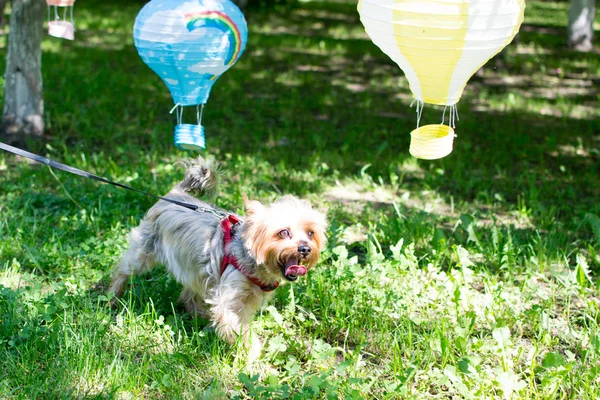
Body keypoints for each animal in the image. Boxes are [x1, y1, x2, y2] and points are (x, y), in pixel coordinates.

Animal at [106, 158, 324, 346]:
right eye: (283, 232)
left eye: (311, 233)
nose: (305, 248)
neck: (250, 259)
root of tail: (175, 192)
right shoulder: (229, 300)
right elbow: (240, 329)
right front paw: (253, 353)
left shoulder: (248, 299)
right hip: (144, 250)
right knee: (123, 270)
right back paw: (111, 297)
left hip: (195, 267)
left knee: (189, 292)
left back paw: (201, 315)